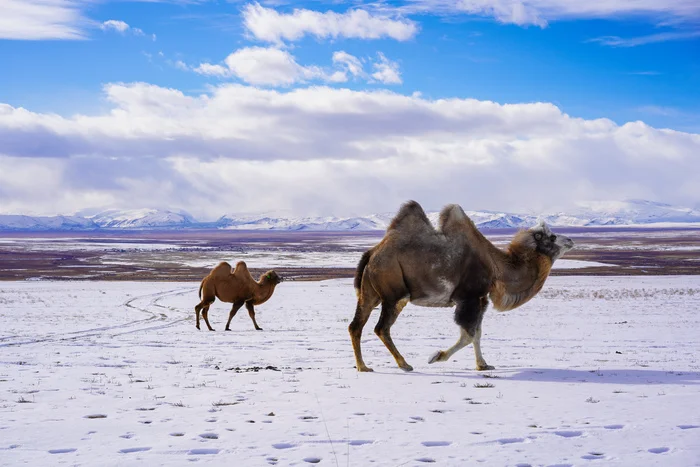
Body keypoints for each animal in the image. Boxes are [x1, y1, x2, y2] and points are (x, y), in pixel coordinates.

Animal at [350, 201, 576, 372]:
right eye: (552, 236)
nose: (571, 239)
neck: (496, 267)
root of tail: (372, 253)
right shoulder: (468, 298)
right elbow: (468, 334)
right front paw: (436, 356)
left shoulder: (481, 299)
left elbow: (477, 333)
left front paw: (483, 365)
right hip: (394, 293)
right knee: (381, 327)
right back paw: (404, 364)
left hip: (370, 292)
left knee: (356, 325)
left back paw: (363, 366)